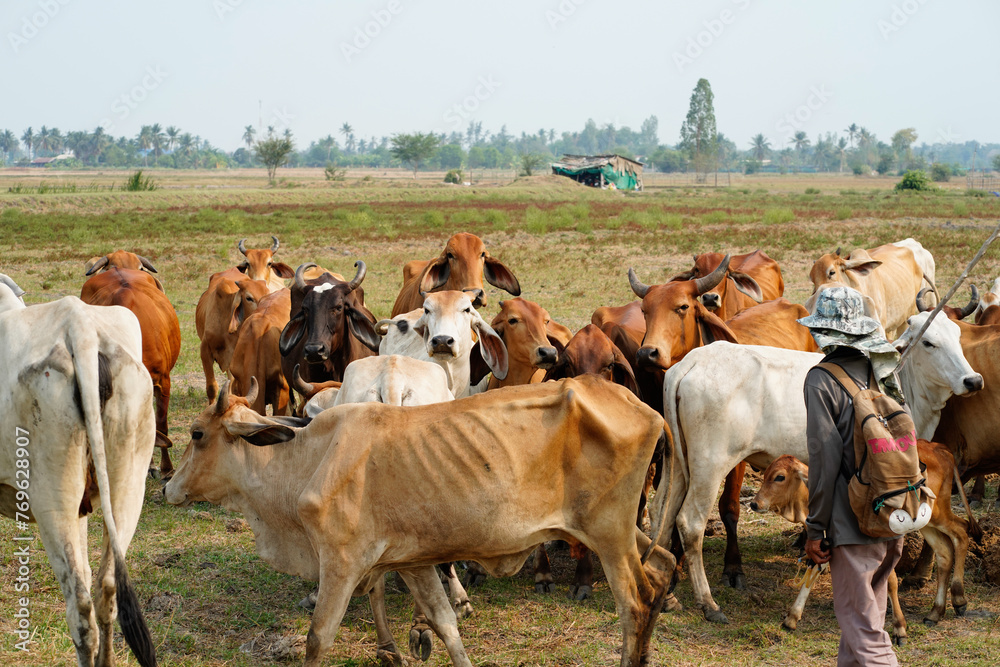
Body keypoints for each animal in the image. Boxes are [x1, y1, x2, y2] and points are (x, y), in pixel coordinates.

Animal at [165, 376, 675, 667]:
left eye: (197, 434)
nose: (168, 488)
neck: (309, 460)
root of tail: (645, 407)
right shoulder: (409, 562)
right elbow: (446, 626)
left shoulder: (342, 564)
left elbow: (317, 639)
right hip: (624, 531)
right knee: (662, 568)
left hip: (608, 535)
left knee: (635, 603)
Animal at [751, 444, 980, 631]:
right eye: (765, 474)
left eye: (779, 477)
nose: (754, 503)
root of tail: (941, 449)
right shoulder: (827, 541)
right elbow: (815, 569)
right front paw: (792, 617)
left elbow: (890, 579)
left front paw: (898, 626)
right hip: (927, 523)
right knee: (944, 553)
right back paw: (936, 611)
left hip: (938, 513)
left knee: (962, 532)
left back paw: (959, 598)